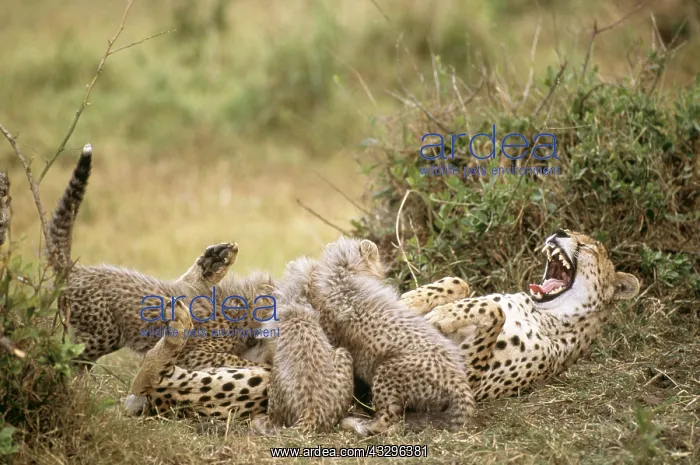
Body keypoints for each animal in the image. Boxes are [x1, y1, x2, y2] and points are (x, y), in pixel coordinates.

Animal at [46, 146, 277, 371]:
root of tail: (77, 270)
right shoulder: (195, 355)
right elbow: (242, 363)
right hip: (103, 334)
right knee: (67, 359)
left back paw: (214, 261)